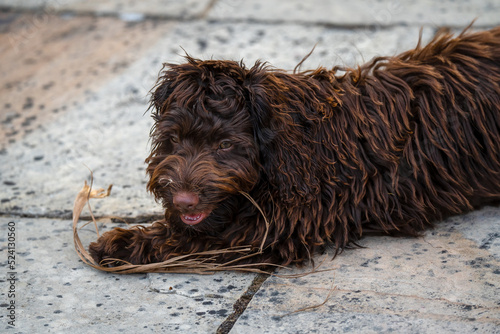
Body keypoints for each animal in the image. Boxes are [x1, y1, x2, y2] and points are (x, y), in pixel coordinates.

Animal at [89, 26, 500, 266]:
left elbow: (200, 238)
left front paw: (123, 243)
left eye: (225, 144)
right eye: (173, 139)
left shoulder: (280, 226)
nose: (184, 200)